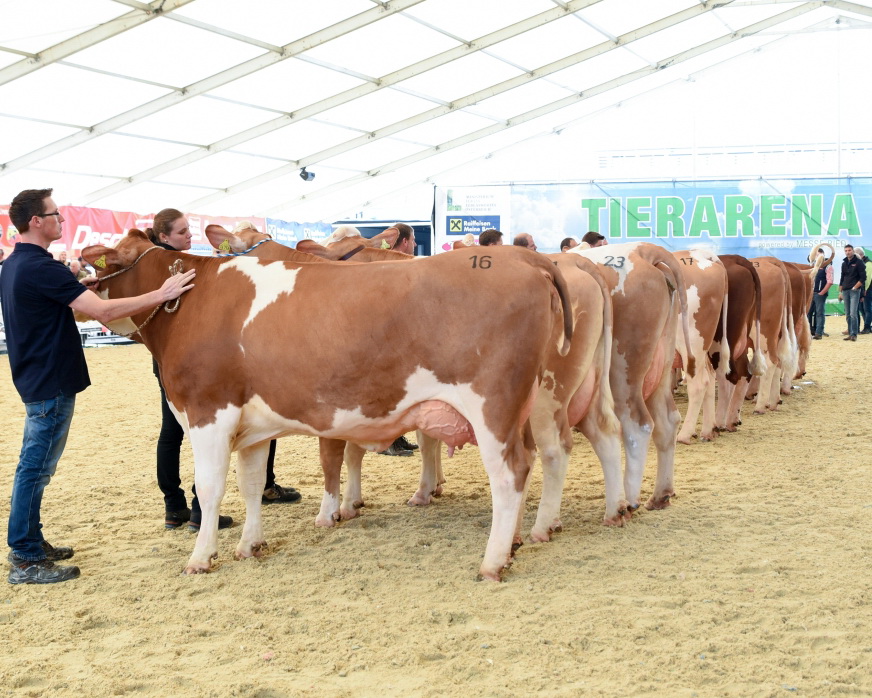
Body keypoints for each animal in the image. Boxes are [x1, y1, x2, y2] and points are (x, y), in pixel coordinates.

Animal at [82, 231, 576, 580]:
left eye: (111, 261)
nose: (81, 290)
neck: (190, 302)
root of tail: (525, 258)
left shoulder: (208, 412)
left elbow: (210, 488)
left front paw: (201, 556)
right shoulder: (249, 424)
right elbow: (250, 484)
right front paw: (250, 545)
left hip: (494, 405)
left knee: (510, 474)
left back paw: (492, 562)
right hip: (534, 400)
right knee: (541, 457)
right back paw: (519, 542)